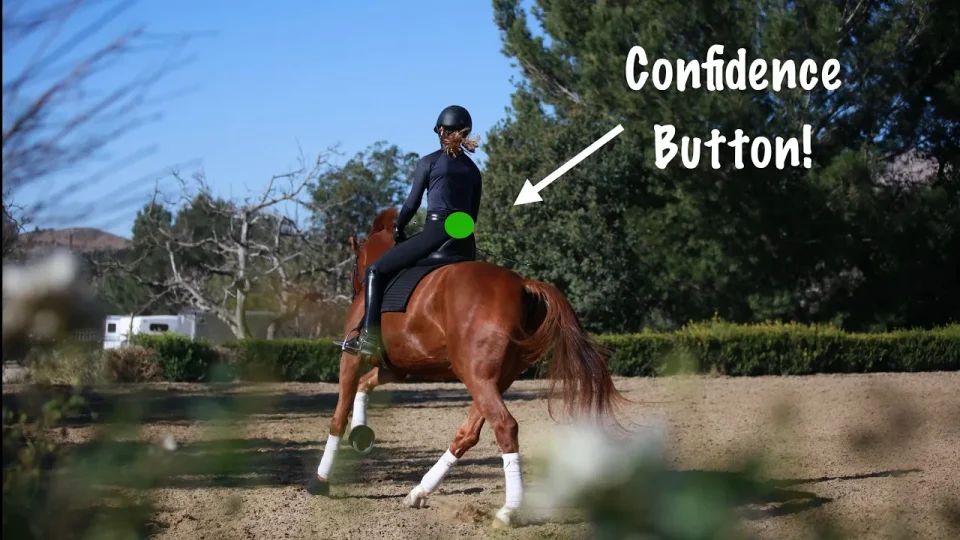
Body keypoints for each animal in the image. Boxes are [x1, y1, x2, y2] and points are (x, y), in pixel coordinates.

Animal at [308, 207, 625, 527]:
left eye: (353, 269)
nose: (354, 289)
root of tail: (522, 284)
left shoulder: (352, 357)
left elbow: (338, 416)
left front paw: (320, 480)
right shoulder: (394, 368)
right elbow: (364, 386)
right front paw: (361, 433)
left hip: (477, 377)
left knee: (504, 426)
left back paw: (507, 511)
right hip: (492, 378)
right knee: (468, 433)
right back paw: (420, 491)